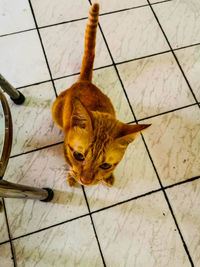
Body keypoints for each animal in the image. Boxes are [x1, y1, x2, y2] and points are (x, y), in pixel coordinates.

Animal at [51, 2, 150, 186]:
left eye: (105, 165)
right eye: (78, 156)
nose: (85, 181)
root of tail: (85, 81)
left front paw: (107, 177)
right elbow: (69, 165)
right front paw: (72, 176)